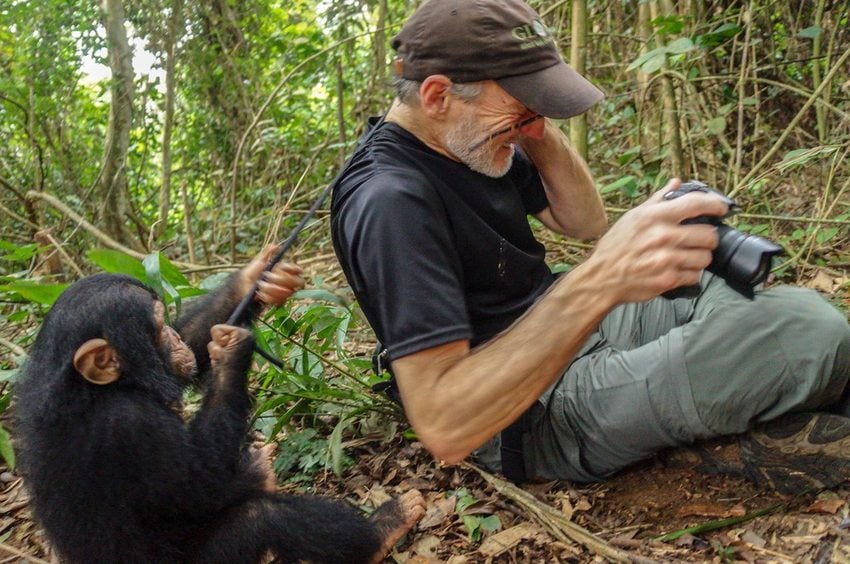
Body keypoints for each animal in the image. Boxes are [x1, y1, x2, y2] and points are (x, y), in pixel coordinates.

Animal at [13, 258, 424, 560]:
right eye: (158, 328)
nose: (172, 337)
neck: (103, 388)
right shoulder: (128, 426)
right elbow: (199, 487)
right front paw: (231, 354)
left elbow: (194, 353)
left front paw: (255, 277)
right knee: (265, 519)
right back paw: (383, 529)